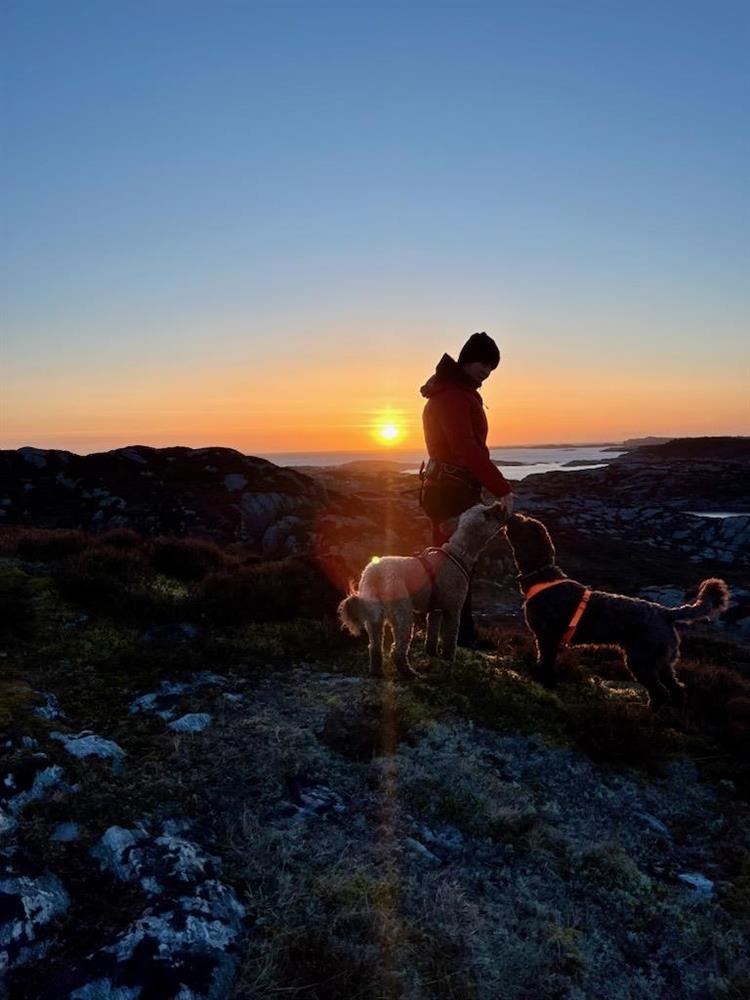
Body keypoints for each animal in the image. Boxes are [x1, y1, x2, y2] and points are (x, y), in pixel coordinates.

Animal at [502, 512, 732, 716]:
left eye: (525, 523)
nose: (511, 515)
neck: (542, 575)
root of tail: (666, 613)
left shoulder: (547, 638)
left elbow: (546, 664)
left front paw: (544, 683)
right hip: (663, 663)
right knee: (677, 688)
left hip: (641, 661)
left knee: (660, 693)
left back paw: (647, 714)